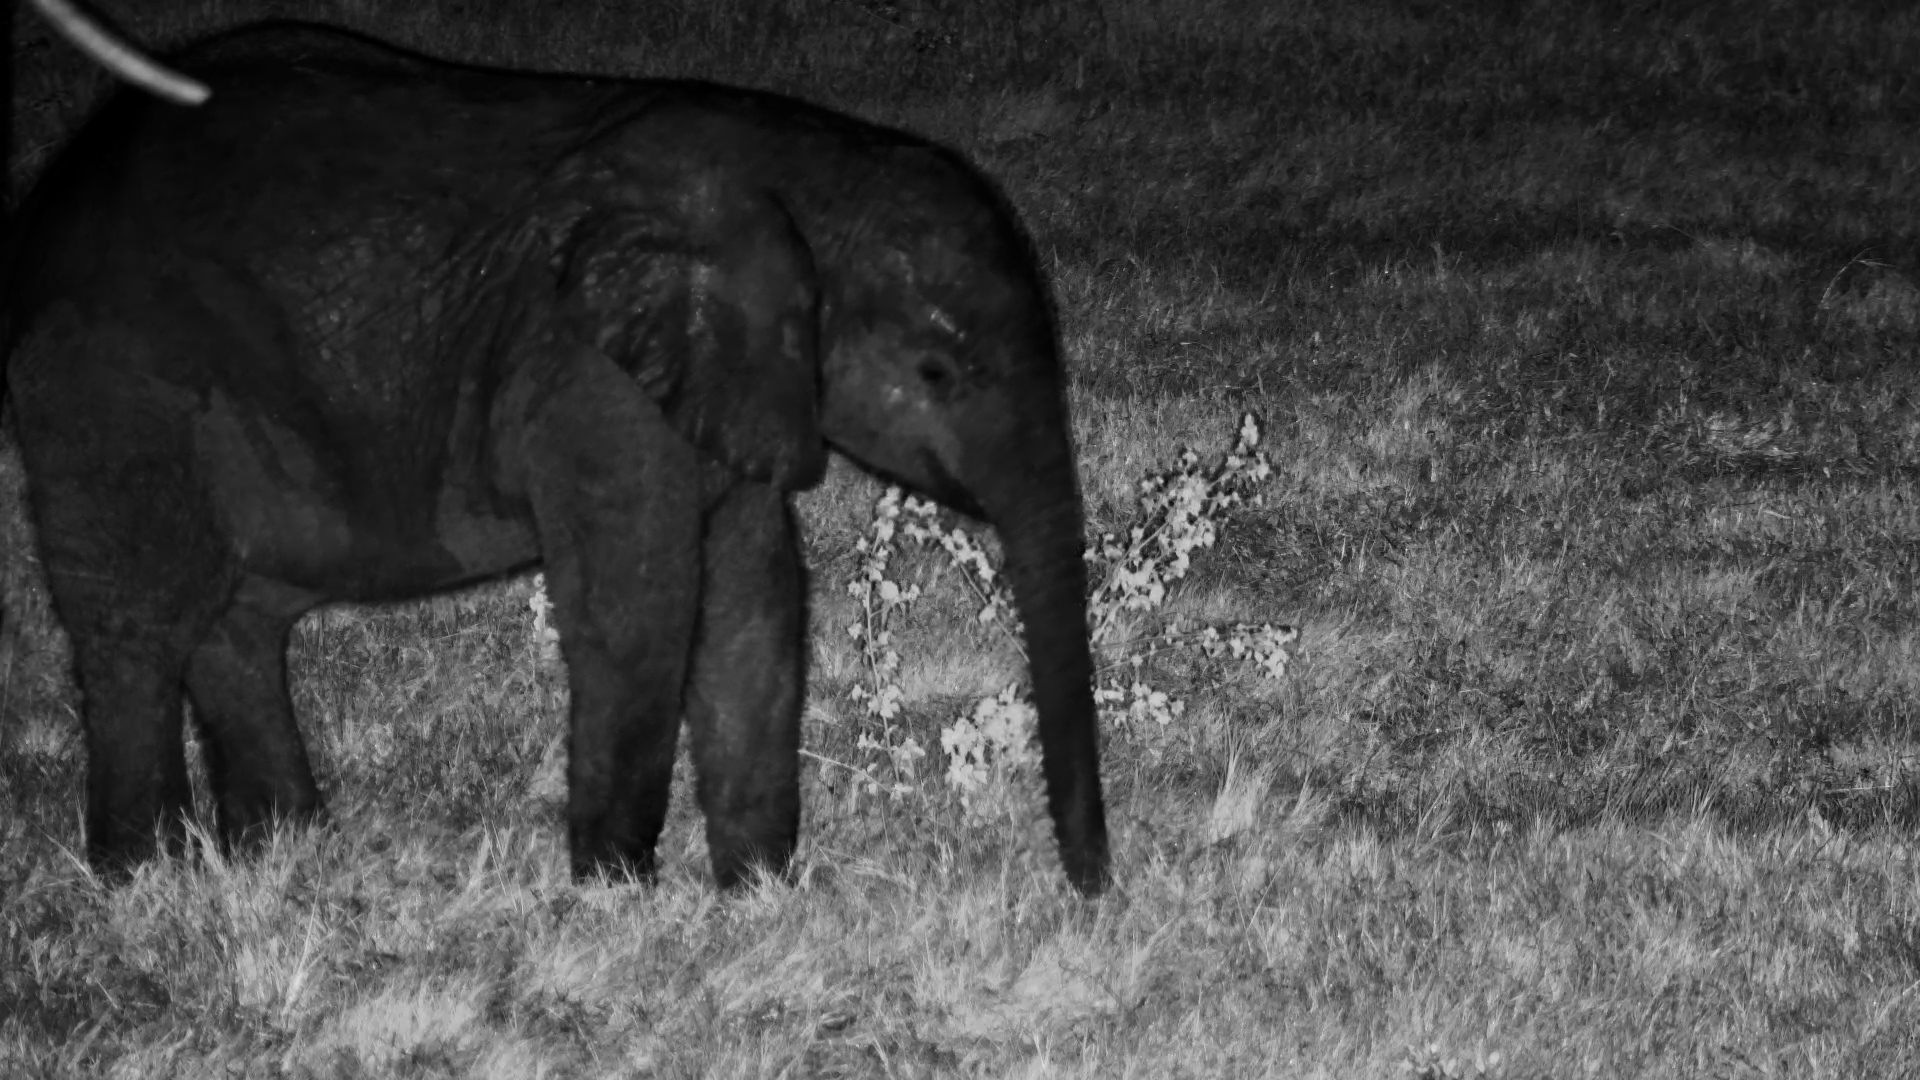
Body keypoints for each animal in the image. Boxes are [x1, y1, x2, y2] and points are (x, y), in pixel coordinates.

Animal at [0, 22, 1110, 894]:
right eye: (935, 372)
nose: (1093, 893)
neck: (794, 175)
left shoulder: (729, 384)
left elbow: (755, 602)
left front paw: (756, 895)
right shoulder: (592, 382)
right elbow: (639, 611)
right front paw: (619, 896)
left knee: (236, 617)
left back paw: (283, 855)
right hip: (107, 382)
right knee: (140, 620)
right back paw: (142, 880)